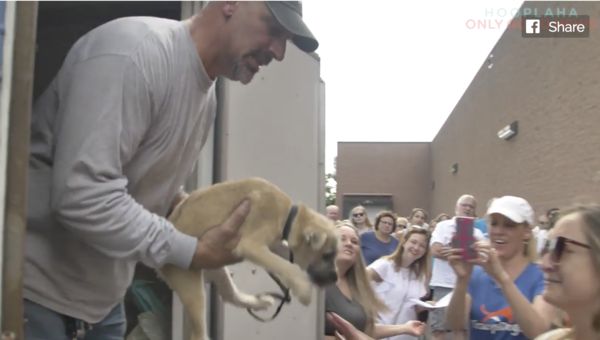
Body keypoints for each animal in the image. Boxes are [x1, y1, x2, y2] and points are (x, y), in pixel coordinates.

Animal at [159, 178, 338, 340]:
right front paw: (304, 290)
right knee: (198, 334)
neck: (288, 215)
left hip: (218, 270)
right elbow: (287, 266)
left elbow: (286, 259)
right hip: (191, 286)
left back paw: (260, 302)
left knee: (230, 296)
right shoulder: (251, 245)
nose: (335, 278)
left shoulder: (274, 245)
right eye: (327, 255)